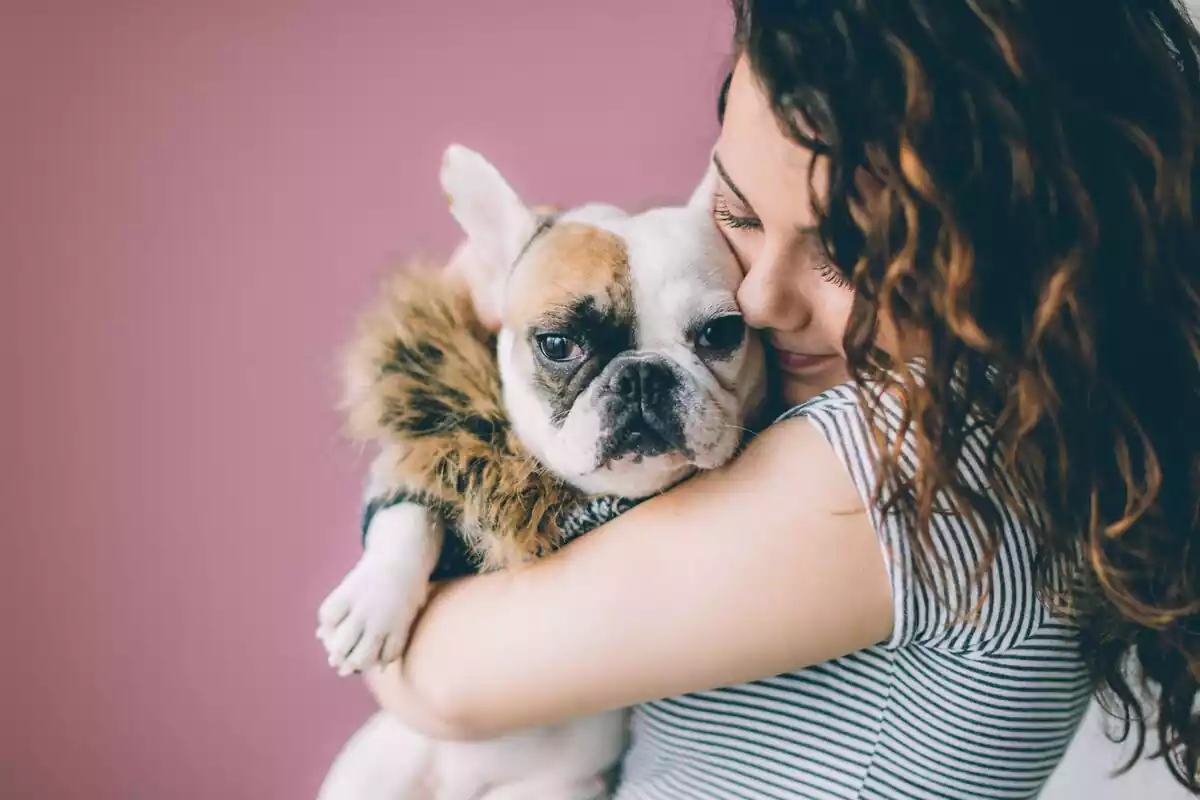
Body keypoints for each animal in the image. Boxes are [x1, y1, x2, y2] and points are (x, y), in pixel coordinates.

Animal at [316, 145, 768, 800]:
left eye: (723, 332)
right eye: (557, 343)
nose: (643, 374)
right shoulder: (437, 463)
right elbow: (412, 506)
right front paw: (373, 602)